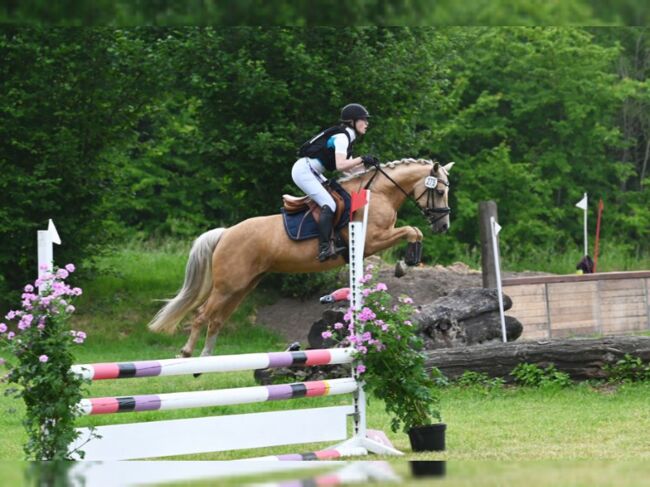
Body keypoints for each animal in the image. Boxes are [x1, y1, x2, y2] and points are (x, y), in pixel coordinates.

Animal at [148, 158, 450, 356]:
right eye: (440, 191)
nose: (444, 226)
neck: (377, 193)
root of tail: (225, 233)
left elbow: (414, 232)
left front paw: (406, 263)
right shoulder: (373, 239)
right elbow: (412, 230)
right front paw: (405, 263)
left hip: (242, 286)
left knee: (216, 320)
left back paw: (205, 360)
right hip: (228, 286)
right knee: (201, 316)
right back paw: (187, 353)